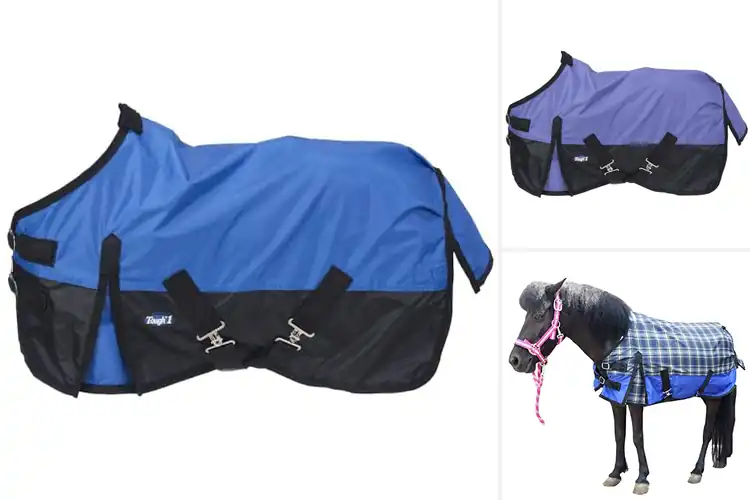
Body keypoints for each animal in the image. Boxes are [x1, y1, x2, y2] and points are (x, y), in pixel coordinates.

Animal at [508, 279, 744, 495]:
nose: (515, 360)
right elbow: (619, 434)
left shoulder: (635, 398)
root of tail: (726, 333)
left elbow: (637, 437)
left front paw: (642, 479)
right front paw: (616, 473)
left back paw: (697, 471)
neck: (617, 340)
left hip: (713, 397)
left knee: (707, 431)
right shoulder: (617, 398)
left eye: (539, 315)